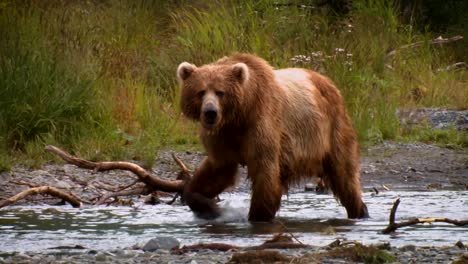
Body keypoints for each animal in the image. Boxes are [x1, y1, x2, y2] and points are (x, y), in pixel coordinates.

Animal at [176, 52, 370, 222]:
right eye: (201, 92)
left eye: (220, 92)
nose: (210, 112)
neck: (240, 115)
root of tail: (328, 82)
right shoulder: (223, 137)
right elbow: (218, 170)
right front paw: (210, 207)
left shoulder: (261, 123)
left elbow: (265, 173)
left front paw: (257, 217)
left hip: (331, 129)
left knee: (344, 174)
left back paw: (360, 211)